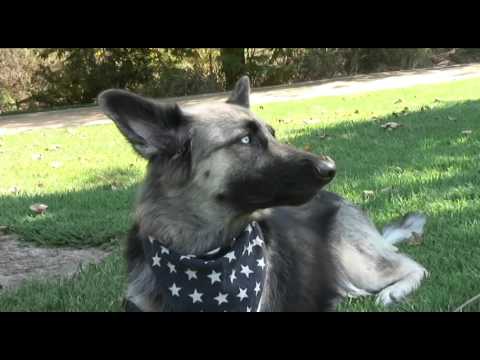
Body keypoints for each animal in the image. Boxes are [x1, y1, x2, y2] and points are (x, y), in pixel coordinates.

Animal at [97, 76, 428, 312]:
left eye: (273, 134)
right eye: (246, 140)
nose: (330, 167)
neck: (204, 252)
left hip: (355, 260)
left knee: (414, 266)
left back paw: (392, 292)